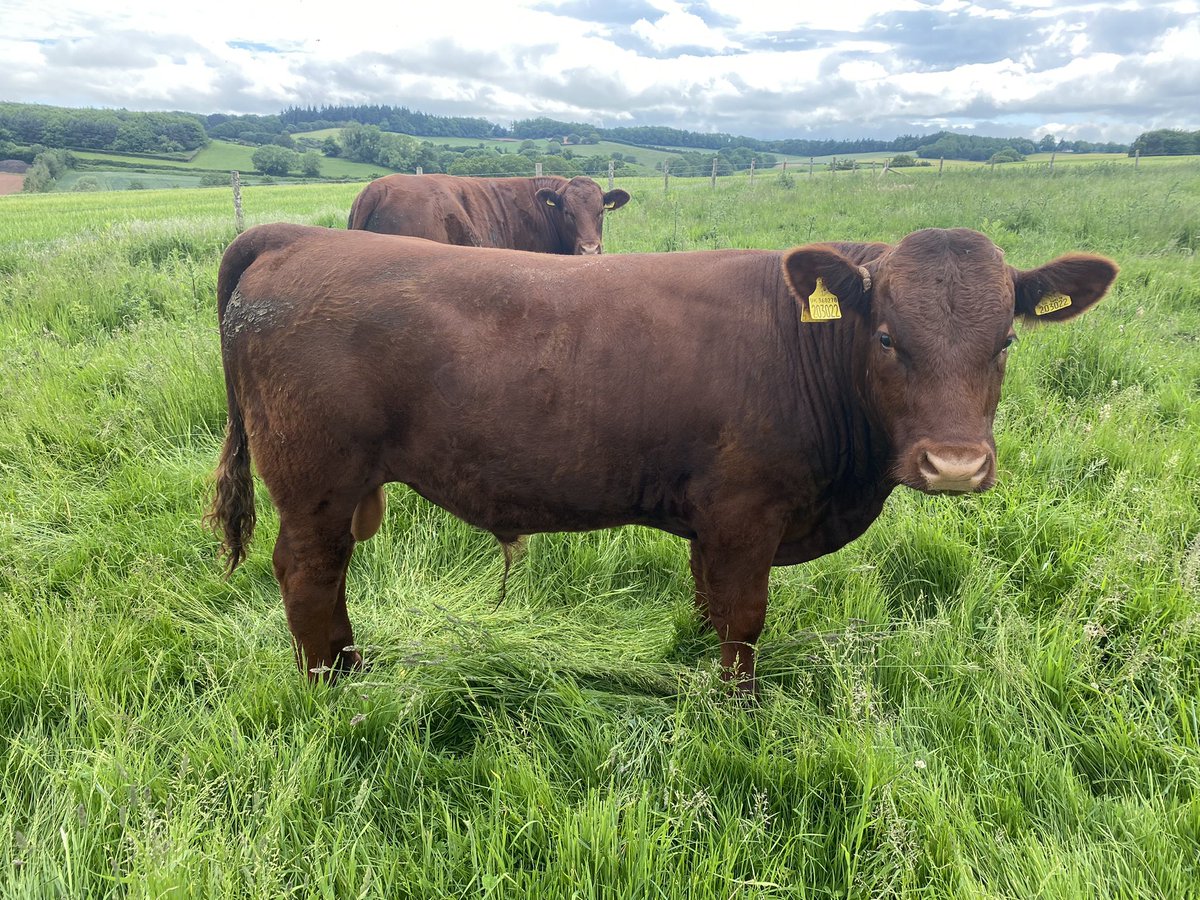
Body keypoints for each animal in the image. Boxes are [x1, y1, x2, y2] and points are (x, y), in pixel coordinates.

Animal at [208, 224, 1117, 691]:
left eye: (1005, 341)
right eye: (889, 337)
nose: (955, 465)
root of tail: (301, 236)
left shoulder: (712, 522)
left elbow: (710, 606)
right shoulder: (746, 512)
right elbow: (744, 620)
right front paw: (739, 710)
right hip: (315, 482)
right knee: (308, 575)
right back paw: (334, 688)